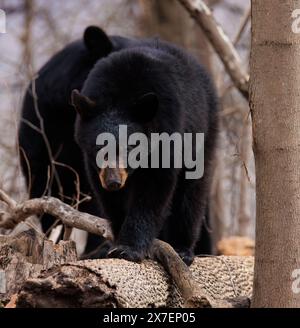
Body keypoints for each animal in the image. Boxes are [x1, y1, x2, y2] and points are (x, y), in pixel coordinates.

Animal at [19, 26, 219, 266]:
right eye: (98, 148)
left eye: (131, 148)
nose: (114, 181)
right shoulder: (44, 139)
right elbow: (52, 189)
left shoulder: (166, 136)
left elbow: (152, 192)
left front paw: (126, 248)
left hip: (202, 131)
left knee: (191, 192)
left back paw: (184, 249)